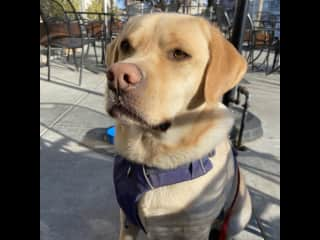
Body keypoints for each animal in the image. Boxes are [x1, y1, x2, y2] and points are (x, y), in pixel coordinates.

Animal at [106, 13, 251, 240]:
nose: (118, 76)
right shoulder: (127, 218)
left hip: (240, 213)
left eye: (179, 54)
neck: (151, 160)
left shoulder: (195, 229)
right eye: (125, 45)